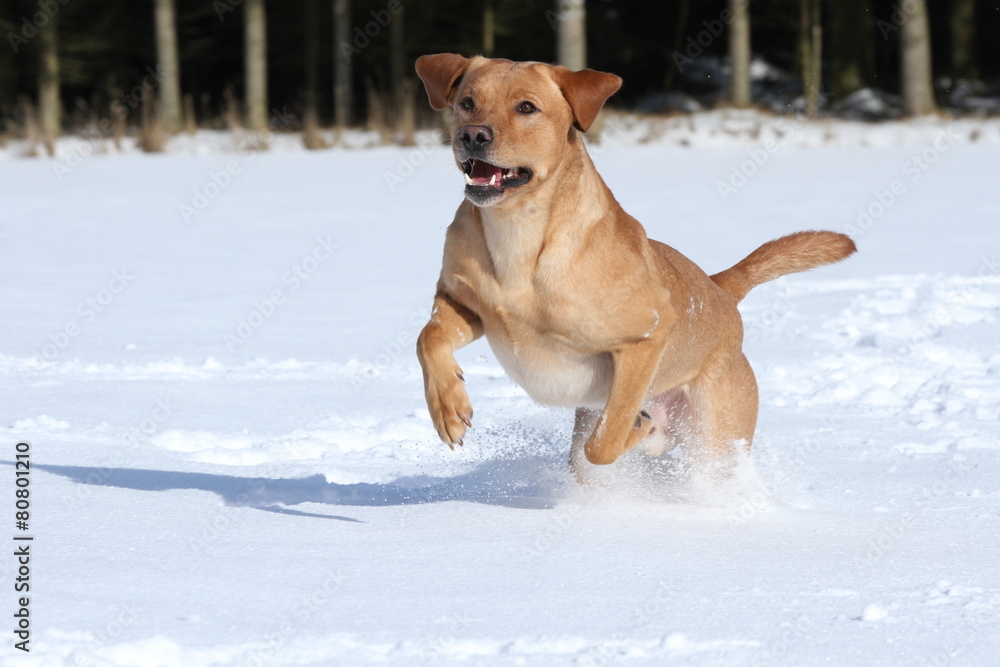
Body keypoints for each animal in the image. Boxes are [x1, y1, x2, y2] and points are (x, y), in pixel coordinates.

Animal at [410, 53, 856, 480]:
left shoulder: (645, 338)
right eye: (467, 102)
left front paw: (640, 429)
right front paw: (448, 409)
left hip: (718, 437)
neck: (518, 237)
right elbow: (427, 338)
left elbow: (606, 439)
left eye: (526, 107)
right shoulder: (464, 302)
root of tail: (719, 288)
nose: (473, 135)